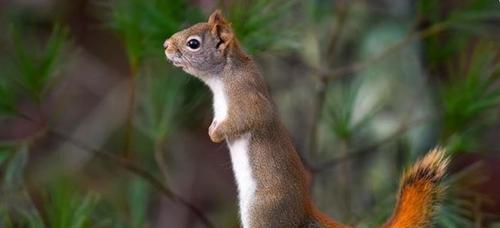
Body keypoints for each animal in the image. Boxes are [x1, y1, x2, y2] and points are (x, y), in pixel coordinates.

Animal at [164, 9, 450, 228]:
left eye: (193, 43)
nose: (165, 45)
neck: (224, 75)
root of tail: (305, 212)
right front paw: (212, 128)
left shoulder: (247, 97)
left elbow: (244, 120)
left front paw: (215, 134)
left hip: (263, 214)